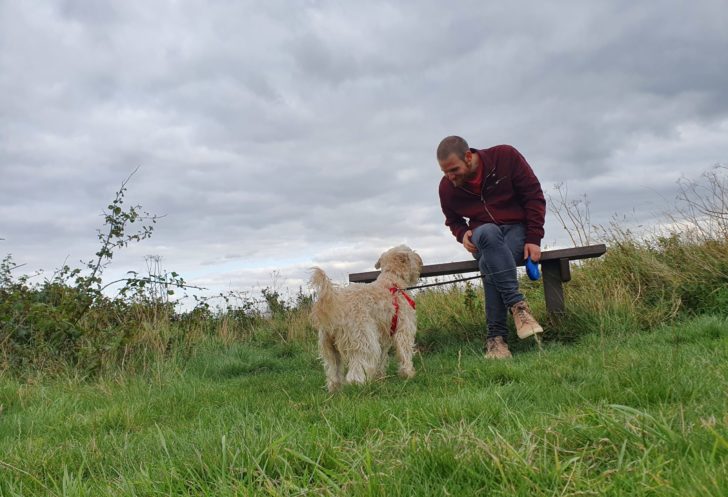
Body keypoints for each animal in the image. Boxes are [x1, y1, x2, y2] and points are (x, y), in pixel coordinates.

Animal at [310, 244, 424, 392]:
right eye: (411, 252)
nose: (421, 261)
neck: (393, 280)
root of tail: (336, 305)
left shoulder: (383, 336)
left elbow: (382, 358)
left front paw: (380, 377)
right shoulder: (403, 329)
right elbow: (405, 352)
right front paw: (408, 374)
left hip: (330, 347)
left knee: (333, 371)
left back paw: (335, 389)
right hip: (364, 339)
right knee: (356, 370)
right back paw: (361, 386)